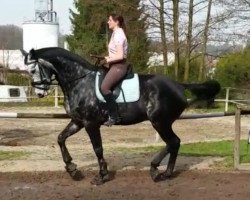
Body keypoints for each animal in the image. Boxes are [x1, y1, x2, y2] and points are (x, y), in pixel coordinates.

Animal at [22, 47, 221, 184]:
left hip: (159, 122)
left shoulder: (90, 123)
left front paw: (102, 176)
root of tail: (179, 85)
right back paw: (163, 172)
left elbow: (97, 148)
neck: (79, 81)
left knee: (173, 142)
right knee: (173, 143)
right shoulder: (78, 121)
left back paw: (158, 170)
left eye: (33, 70)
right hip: (161, 122)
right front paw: (72, 169)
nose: (39, 93)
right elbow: (60, 138)